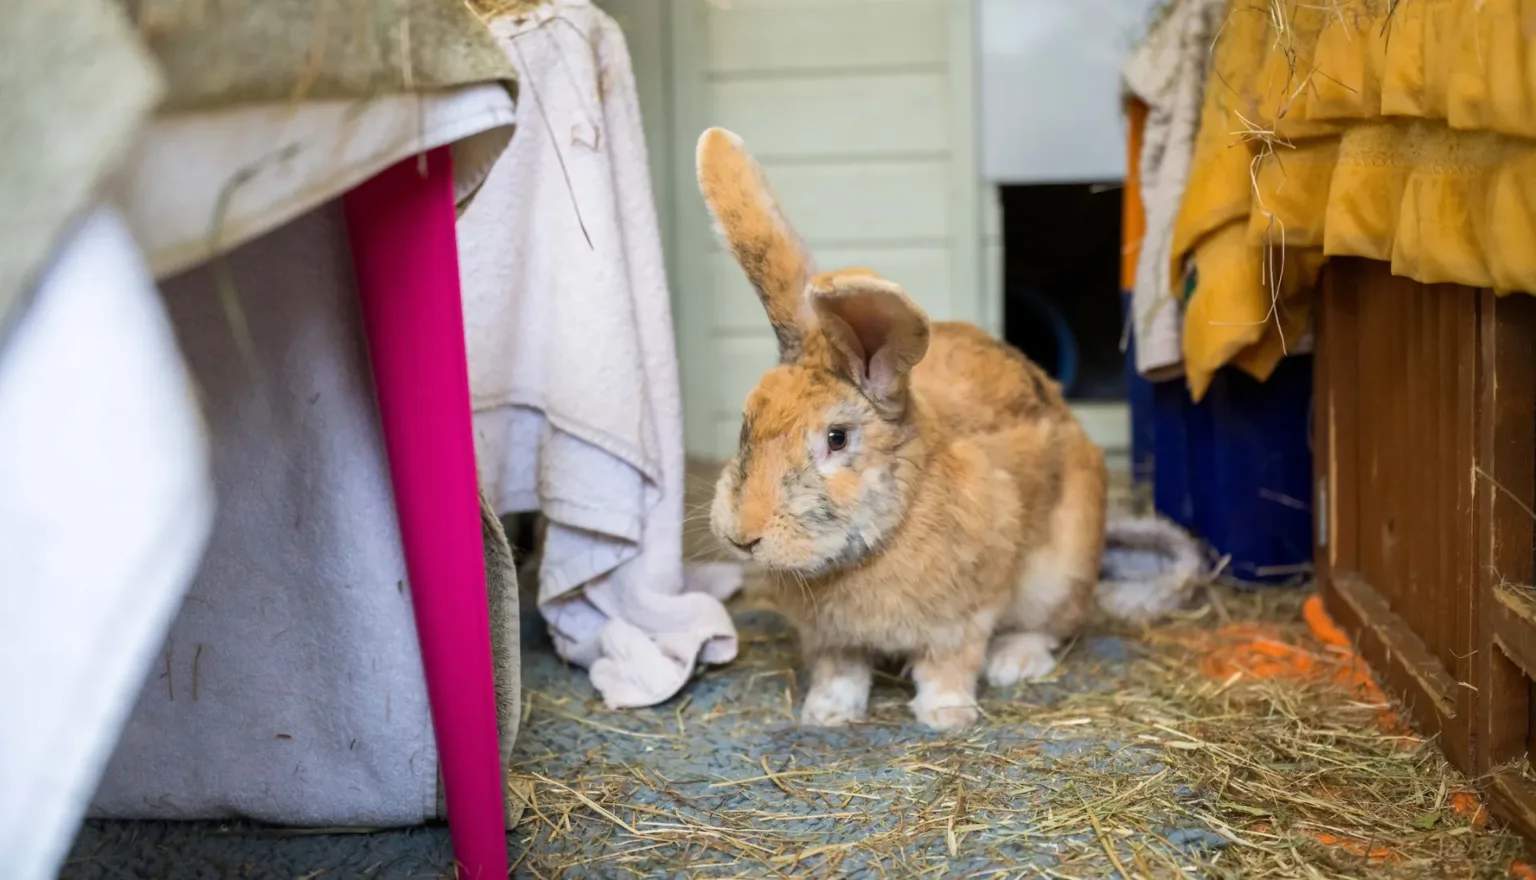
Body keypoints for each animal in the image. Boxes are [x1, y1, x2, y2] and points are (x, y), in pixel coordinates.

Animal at [698, 127, 1110, 730]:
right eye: (746, 422)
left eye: (837, 438)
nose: (743, 536)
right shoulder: (832, 641)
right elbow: (840, 672)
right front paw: (826, 715)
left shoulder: (964, 617)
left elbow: (949, 665)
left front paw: (946, 715)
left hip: (1060, 573)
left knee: (1051, 628)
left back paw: (1014, 663)